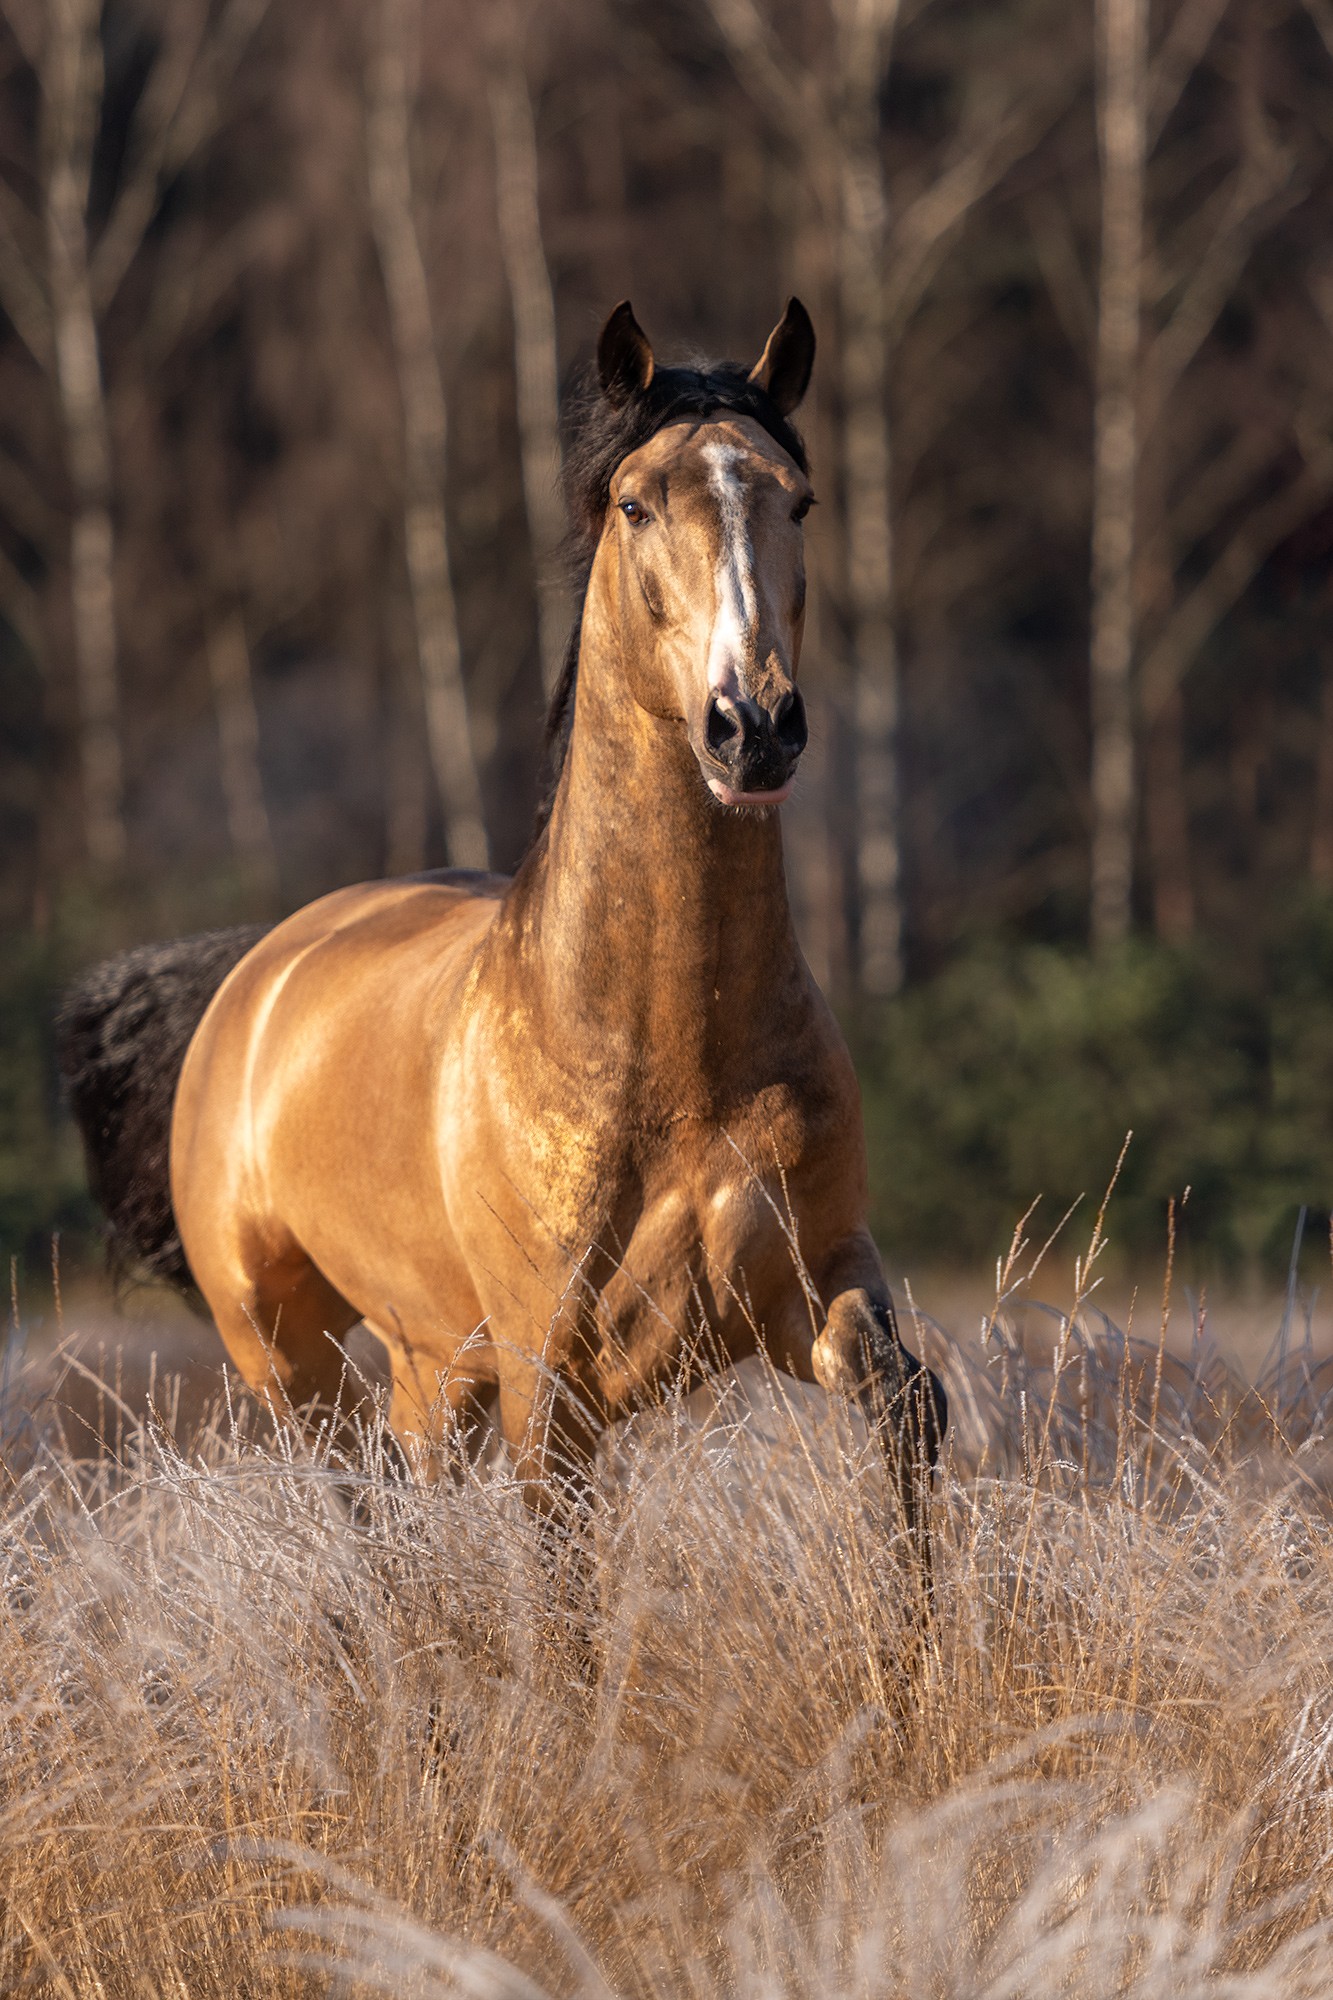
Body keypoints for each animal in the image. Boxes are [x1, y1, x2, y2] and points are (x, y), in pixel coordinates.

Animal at [59, 298, 946, 1565]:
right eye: (634, 502)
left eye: (801, 499)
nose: (753, 727)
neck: (669, 1054)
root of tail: (255, 969)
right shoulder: (551, 1387)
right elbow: (564, 1590)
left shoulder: (813, 1285)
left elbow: (905, 1403)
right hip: (289, 1354)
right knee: (360, 1511)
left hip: (433, 1366)